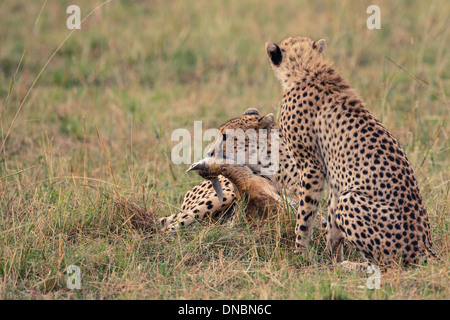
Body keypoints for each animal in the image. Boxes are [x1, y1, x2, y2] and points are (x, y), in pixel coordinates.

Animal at [268, 36, 436, 266]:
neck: (309, 69)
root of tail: (427, 247)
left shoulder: (311, 167)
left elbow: (305, 214)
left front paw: (300, 253)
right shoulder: (334, 179)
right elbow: (332, 222)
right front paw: (331, 259)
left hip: (351, 200)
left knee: (387, 265)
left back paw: (353, 266)